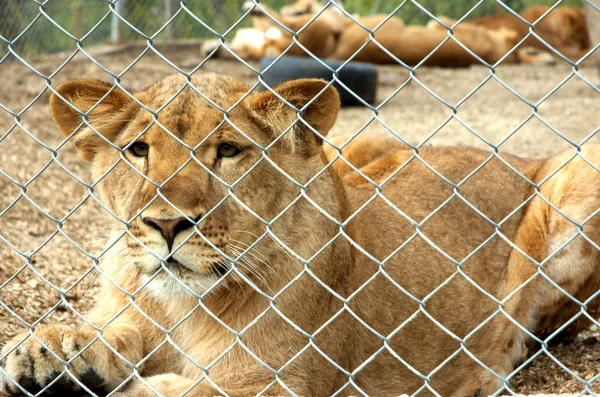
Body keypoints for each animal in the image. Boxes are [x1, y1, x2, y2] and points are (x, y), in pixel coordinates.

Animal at [1, 73, 600, 392]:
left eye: (228, 150)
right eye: (138, 149)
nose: (167, 224)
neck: (183, 308)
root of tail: (519, 157)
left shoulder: (279, 383)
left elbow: (189, 391)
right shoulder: (130, 315)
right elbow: (108, 331)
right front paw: (46, 351)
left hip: (579, 169)